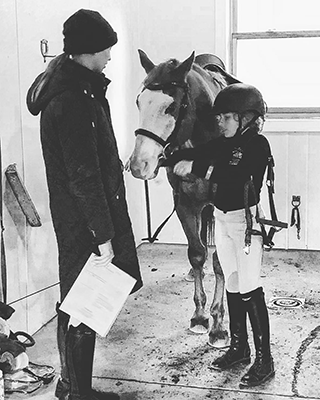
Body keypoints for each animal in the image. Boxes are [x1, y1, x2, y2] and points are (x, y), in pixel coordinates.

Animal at [129, 48, 236, 346]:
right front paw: (200, 316)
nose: (139, 164)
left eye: (171, 107)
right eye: (139, 102)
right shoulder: (184, 205)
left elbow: (219, 261)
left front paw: (218, 325)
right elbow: (197, 253)